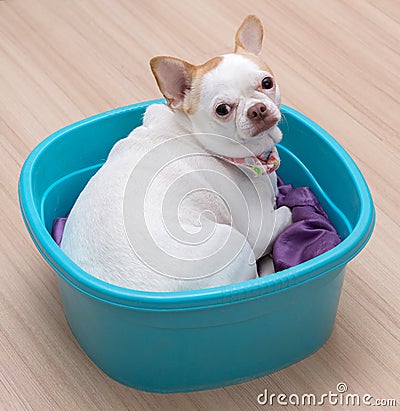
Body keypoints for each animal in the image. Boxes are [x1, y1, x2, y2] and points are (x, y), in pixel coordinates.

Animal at [63, 16, 294, 292]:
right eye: (223, 109)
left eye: (267, 83)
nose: (256, 109)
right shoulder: (261, 229)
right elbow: (287, 212)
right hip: (233, 242)